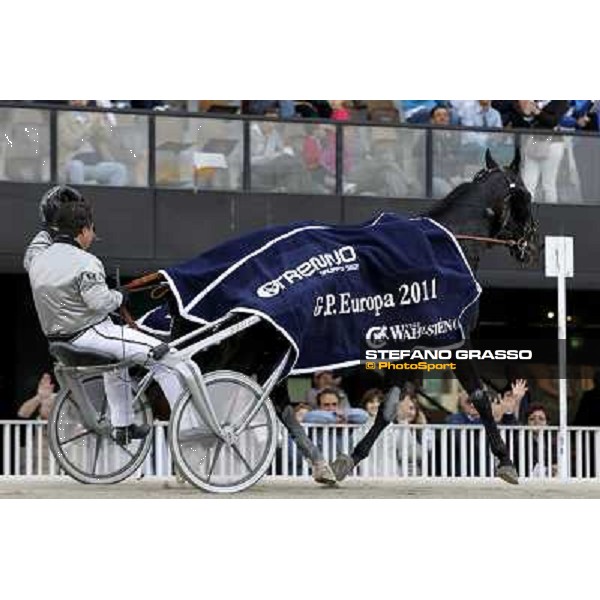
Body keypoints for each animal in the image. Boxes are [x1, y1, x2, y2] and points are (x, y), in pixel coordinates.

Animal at [157, 148, 536, 486]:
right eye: (528, 196)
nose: (534, 247)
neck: (446, 243)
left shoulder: (409, 344)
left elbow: (389, 408)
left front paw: (346, 460)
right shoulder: (453, 339)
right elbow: (479, 397)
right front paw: (506, 460)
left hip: (262, 344)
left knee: (265, 398)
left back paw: (311, 462)